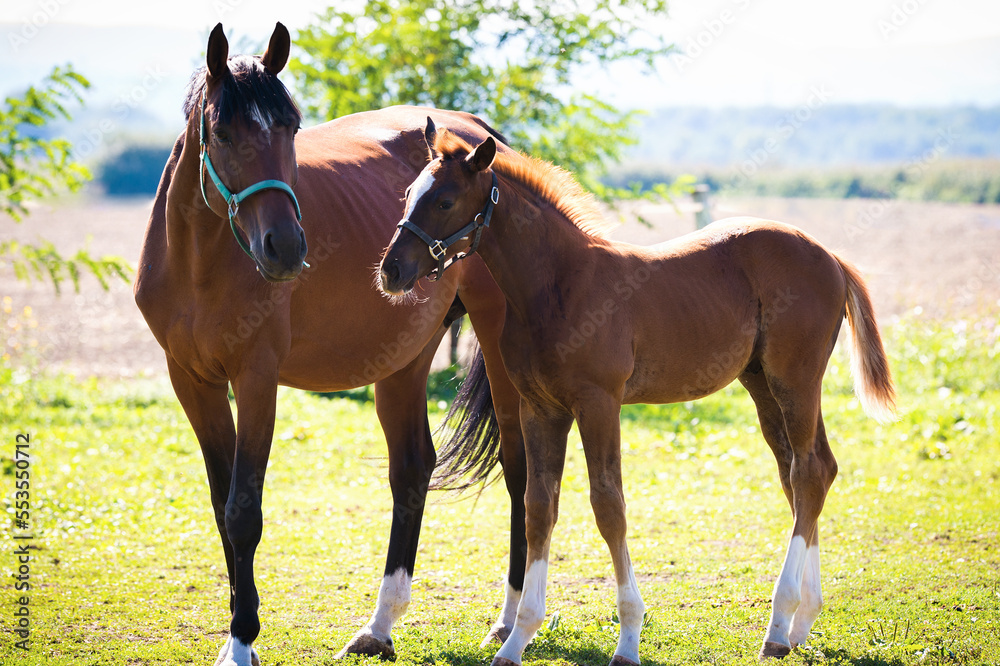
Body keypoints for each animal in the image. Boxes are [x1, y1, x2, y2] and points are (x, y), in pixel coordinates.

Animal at [134, 24, 531, 665]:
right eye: (222, 132)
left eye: (291, 127)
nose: (285, 247)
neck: (200, 260)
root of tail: (482, 138)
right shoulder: (191, 381)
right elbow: (222, 506)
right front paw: (238, 632)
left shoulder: (256, 379)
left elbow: (243, 511)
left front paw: (242, 640)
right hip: (403, 359)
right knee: (412, 469)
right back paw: (380, 625)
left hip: (497, 349)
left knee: (522, 473)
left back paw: (508, 621)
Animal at [378, 119, 897, 665]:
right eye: (409, 194)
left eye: (445, 201)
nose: (391, 270)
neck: (558, 285)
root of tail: (830, 256)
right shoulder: (541, 408)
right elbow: (540, 508)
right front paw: (518, 638)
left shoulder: (599, 403)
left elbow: (609, 506)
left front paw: (628, 638)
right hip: (762, 382)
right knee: (807, 471)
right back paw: (801, 623)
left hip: (794, 377)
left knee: (808, 472)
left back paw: (779, 624)